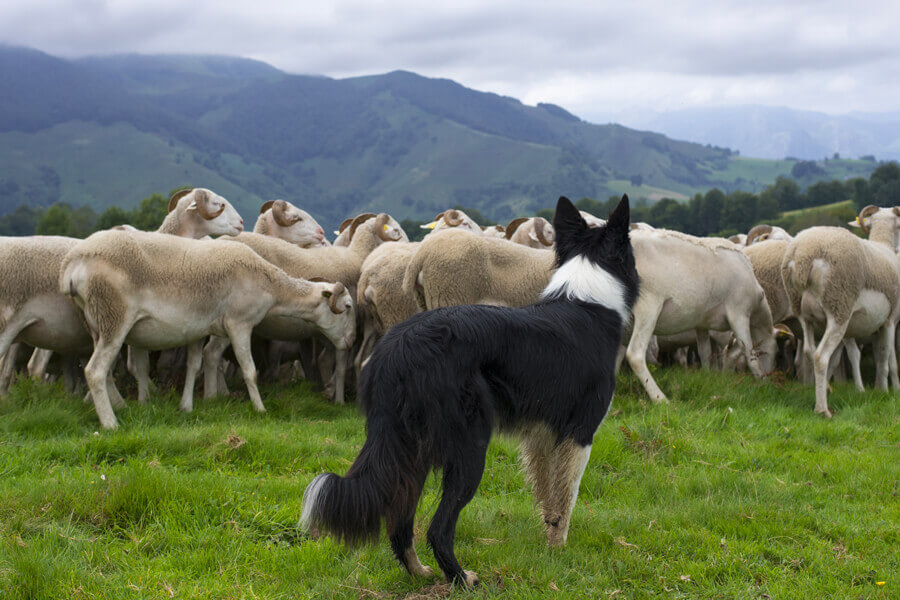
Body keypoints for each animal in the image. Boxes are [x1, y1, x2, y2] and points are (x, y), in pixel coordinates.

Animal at [60, 231, 352, 432]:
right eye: (348, 307)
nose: (350, 344)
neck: (270, 285)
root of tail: (71, 264)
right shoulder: (239, 323)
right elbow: (250, 371)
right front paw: (260, 409)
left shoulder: (199, 328)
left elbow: (194, 365)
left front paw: (187, 407)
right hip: (114, 316)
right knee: (94, 371)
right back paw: (111, 423)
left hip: (94, 322)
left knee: (103, 371)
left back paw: (116, 407)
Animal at [302, 196, 640, 584]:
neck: (587, 292)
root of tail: (401, 348)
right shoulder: (580, 432)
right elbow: (565, 497)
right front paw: (559, 549)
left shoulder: (540, 435)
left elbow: (547, 493)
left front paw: (548, 546)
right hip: (469, 447)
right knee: (438, 528)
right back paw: (461, 578)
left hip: (409, 448)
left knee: (399, 518)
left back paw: (419, 572)